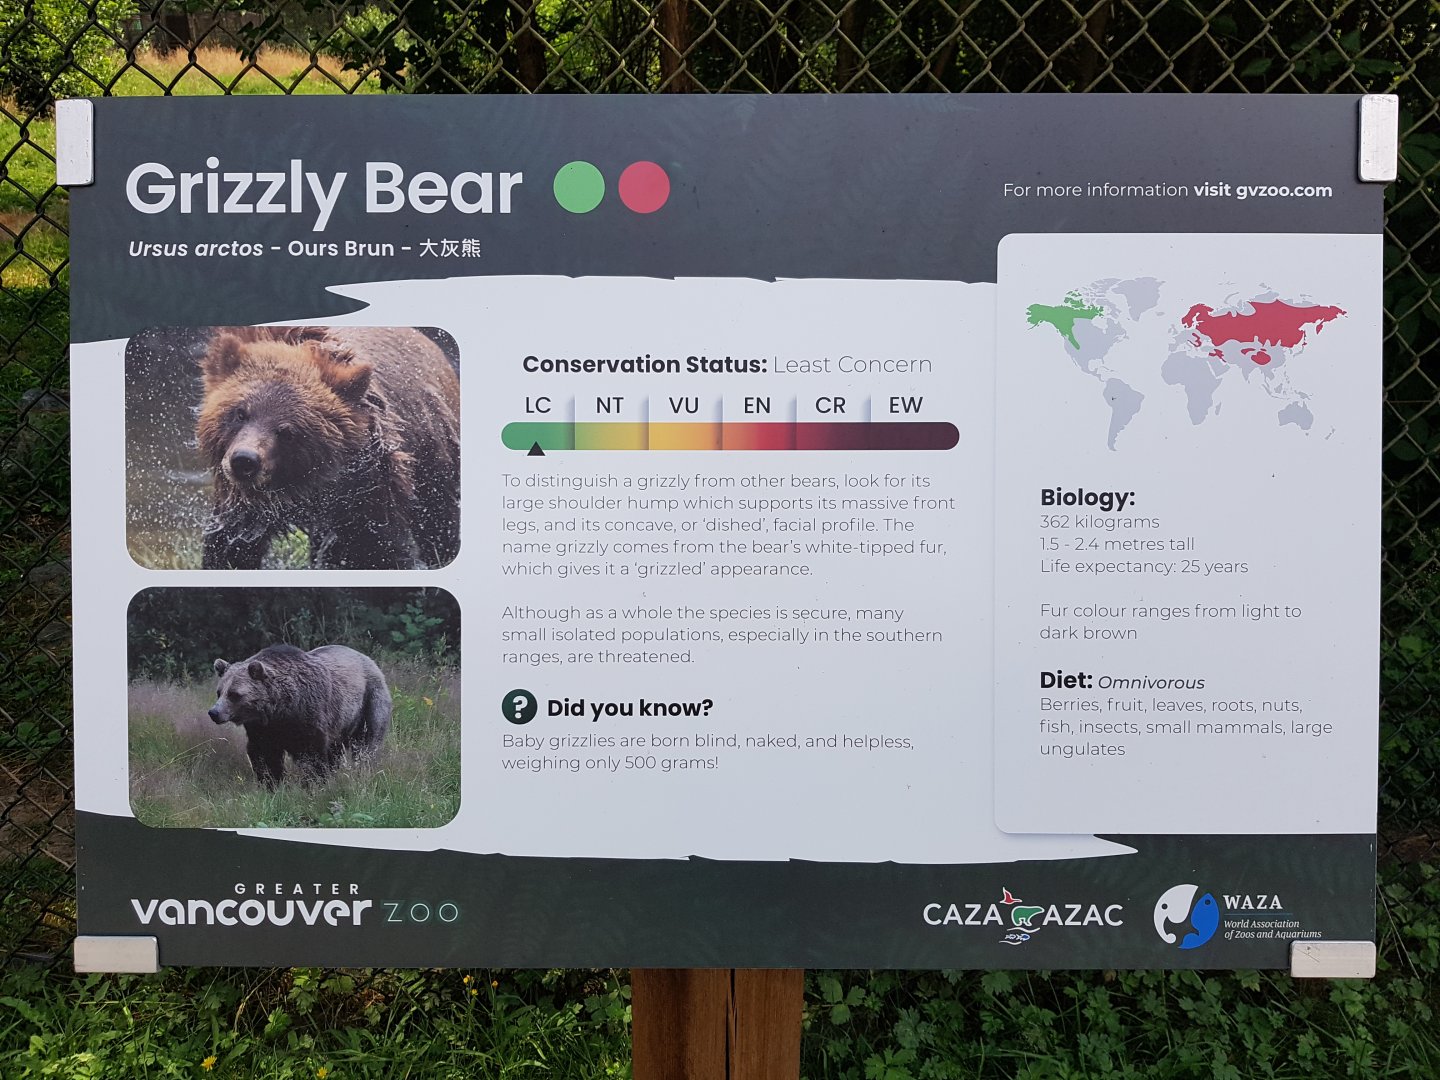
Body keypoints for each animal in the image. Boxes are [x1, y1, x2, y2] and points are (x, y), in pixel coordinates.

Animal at [195, 326, 460, 570]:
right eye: (240, 413)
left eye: (287, 431)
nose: (244, 461)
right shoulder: (241, 507)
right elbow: (231, 544)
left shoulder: (370, 486)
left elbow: (375, 547)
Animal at [207, 643, 392, 789]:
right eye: (219, 692)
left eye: (234, 694)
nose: (214, 713)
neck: (279, 710)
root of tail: (368, 659)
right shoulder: (262, 729)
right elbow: (264, 755)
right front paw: (271, 784)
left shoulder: (307, 717)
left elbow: (312, 755)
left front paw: (314, 783)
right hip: (340, 724)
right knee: (336, 751)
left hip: (369, 701)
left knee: (366, 742)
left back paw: (363, 770)